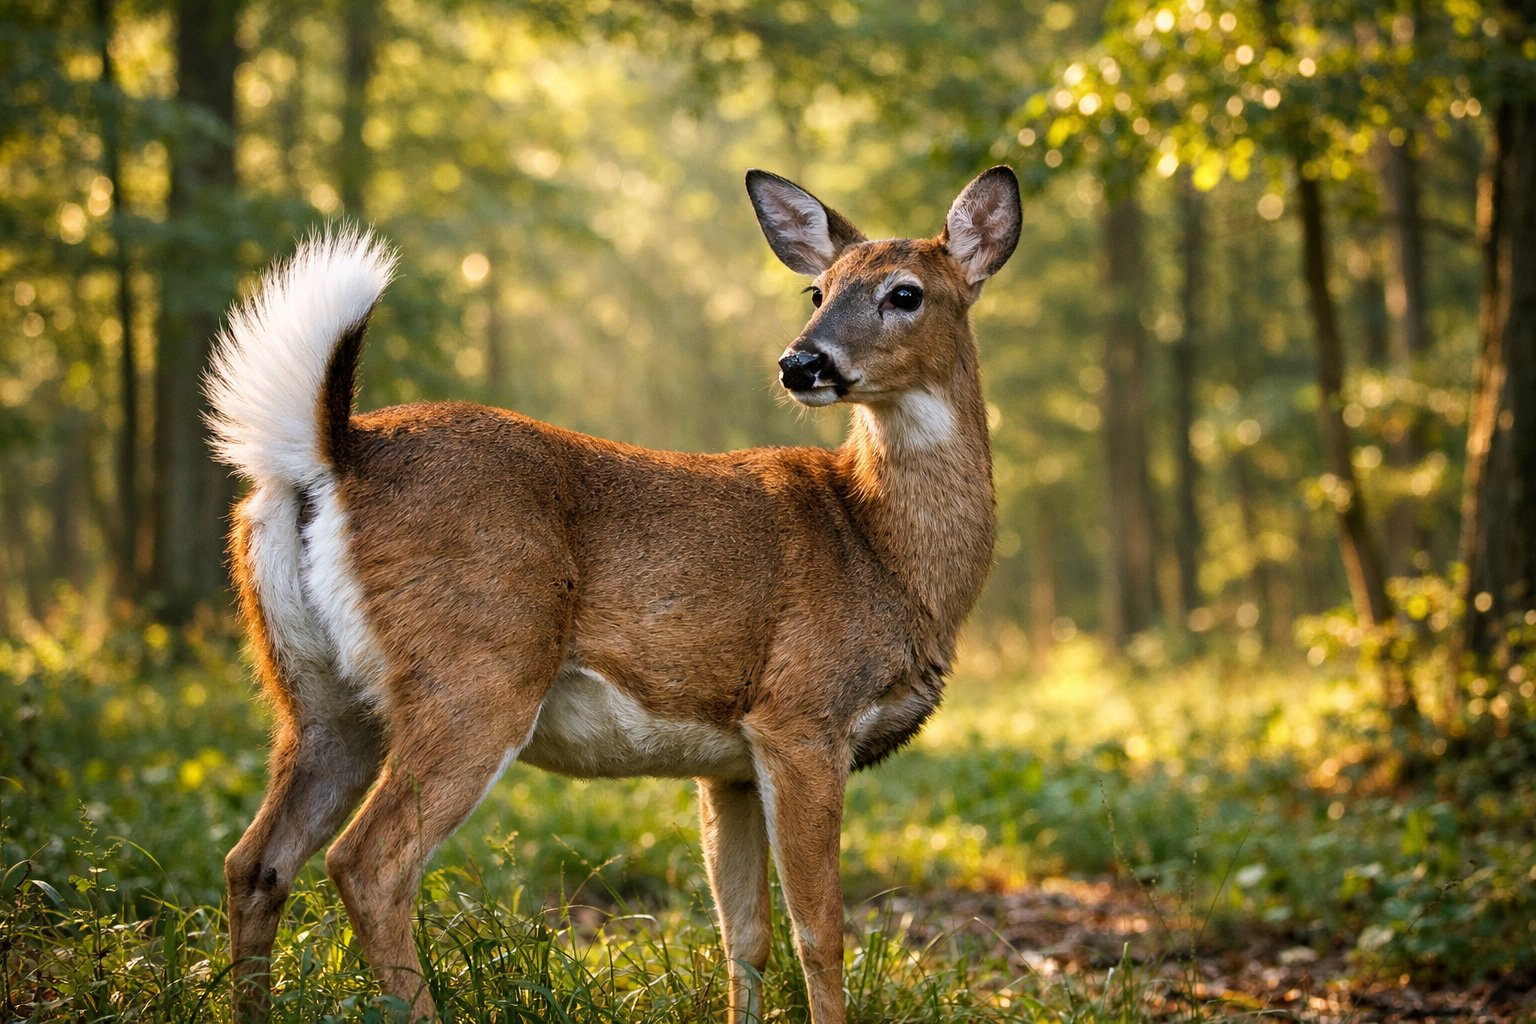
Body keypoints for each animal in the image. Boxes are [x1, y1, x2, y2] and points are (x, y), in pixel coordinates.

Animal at [206, 165, 1021, 1024]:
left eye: (906, 293)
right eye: (818, 289)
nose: (801, 363)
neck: (883, 548)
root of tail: (333, 451)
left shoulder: (730, 762)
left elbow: (745, 936)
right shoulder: (802, 716)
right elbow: (820, 935)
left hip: (321, 697)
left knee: (254, 862)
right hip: (477, 673)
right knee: (367, 863)